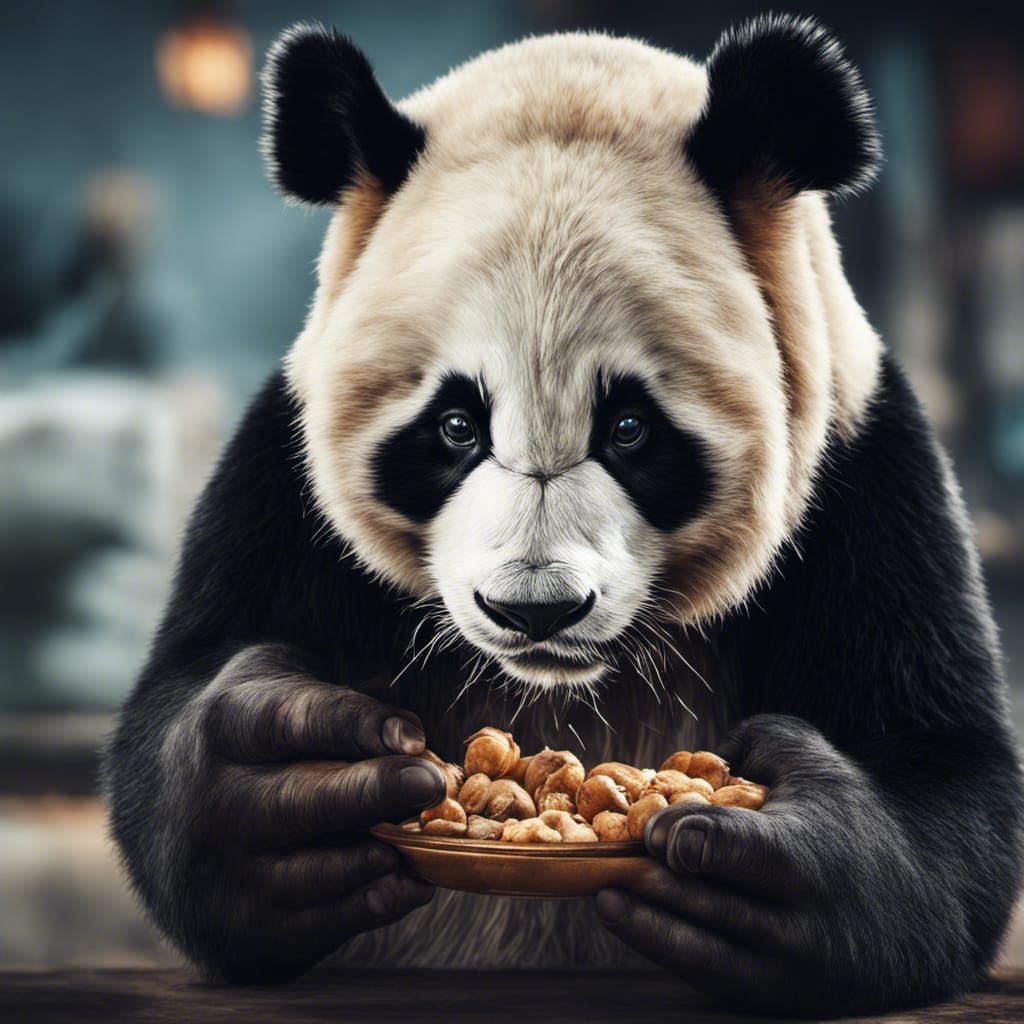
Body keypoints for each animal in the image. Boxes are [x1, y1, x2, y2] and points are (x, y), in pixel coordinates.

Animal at [105, 14, 1023, 1016]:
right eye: (456, 426)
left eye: (628, 428)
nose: (534, 610)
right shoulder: (282, 480)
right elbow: (193, 695)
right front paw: (285, 806)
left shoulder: (863, 474)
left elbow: (943, 776)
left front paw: (774, 872)